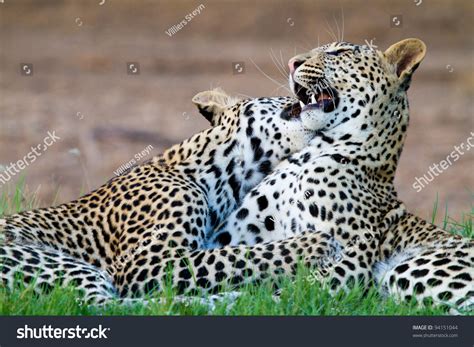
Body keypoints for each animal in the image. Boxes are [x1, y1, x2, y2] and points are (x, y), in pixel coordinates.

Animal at [209, 39, 472, 314]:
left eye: (339, 52)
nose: (292, 63)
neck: (314, 151)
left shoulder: (352, 259)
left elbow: (285, 294)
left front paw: (212, 303)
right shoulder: (233, 236)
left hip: (408, 268)